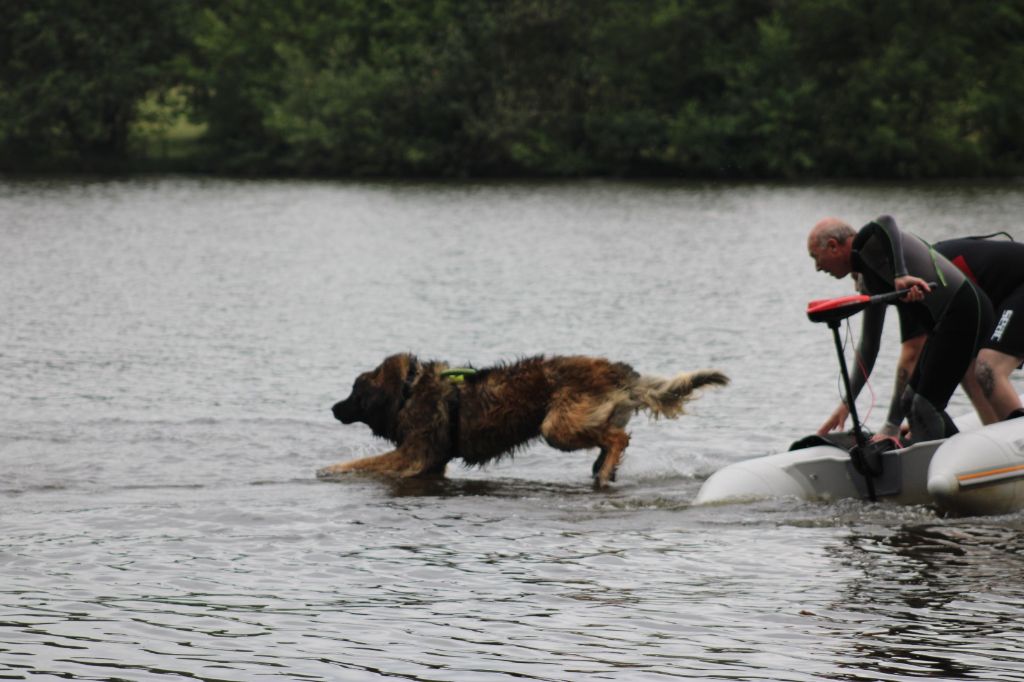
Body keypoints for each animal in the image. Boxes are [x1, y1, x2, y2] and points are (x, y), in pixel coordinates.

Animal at [319, 352, 729, 485]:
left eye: (355, 393)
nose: (334, 408)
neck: (408, 390)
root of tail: (619, 372)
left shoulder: (413, 456)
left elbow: (364, 464)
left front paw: (329, 469)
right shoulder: (429, 464)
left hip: (556, 427)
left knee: (618, 438)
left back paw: (604, 468)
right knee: (612, 439)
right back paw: (604, 470)